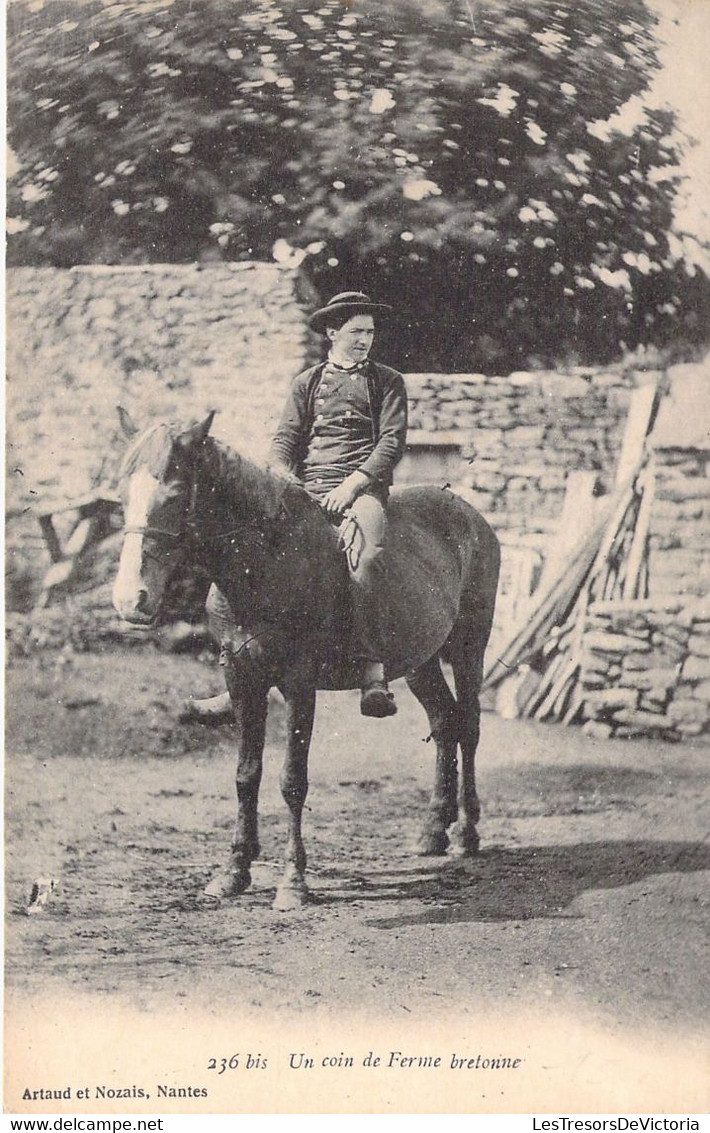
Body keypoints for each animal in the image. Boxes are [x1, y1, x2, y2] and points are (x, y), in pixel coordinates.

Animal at [112, 412, 500, 906]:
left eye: (176, 493)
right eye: (122, 494)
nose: (130, 601)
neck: (265, 563)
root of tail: (470, 515)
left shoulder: (299, 684)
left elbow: (292, 780)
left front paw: (293, 881)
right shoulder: (243, 679)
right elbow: (246, 775)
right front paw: (234, 870)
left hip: (470, 647)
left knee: (468, 727)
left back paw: (467, 833)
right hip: (421, 661)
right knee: (444, 723)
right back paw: (433, 829)